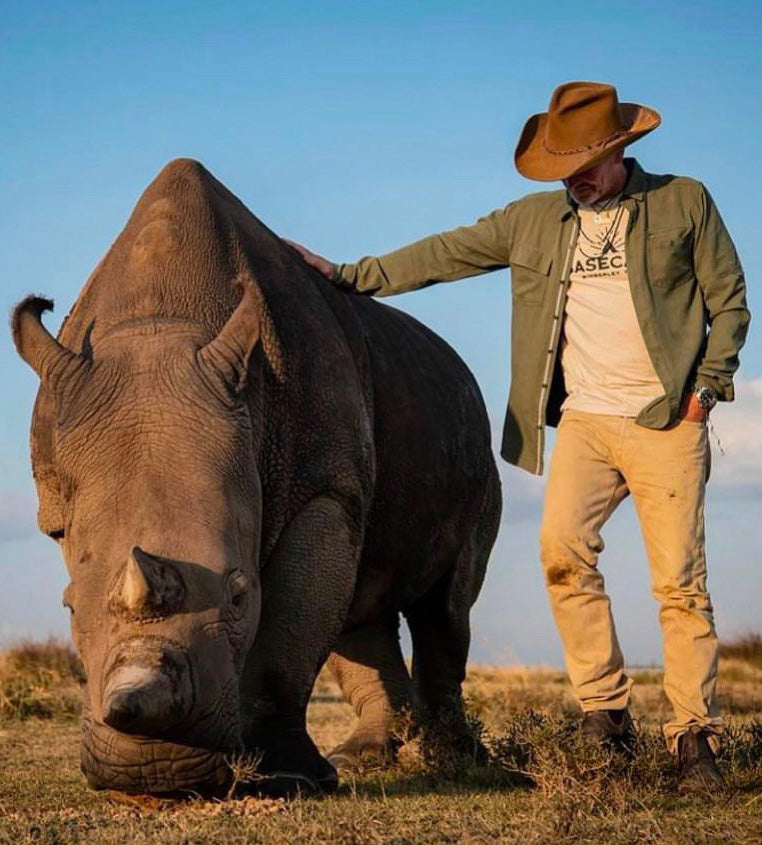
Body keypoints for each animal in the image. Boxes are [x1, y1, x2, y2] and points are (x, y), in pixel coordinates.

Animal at [12, 159, 501, 796]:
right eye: (68, 608)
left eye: (240, 594)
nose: (156, 768)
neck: (159, 324)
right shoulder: (57, 504)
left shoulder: (322, 485)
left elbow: (288, 631)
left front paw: (288, 777)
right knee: (361, 603)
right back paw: (363, 760)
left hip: (479, 446)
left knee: (447, 606)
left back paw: (455, 759)